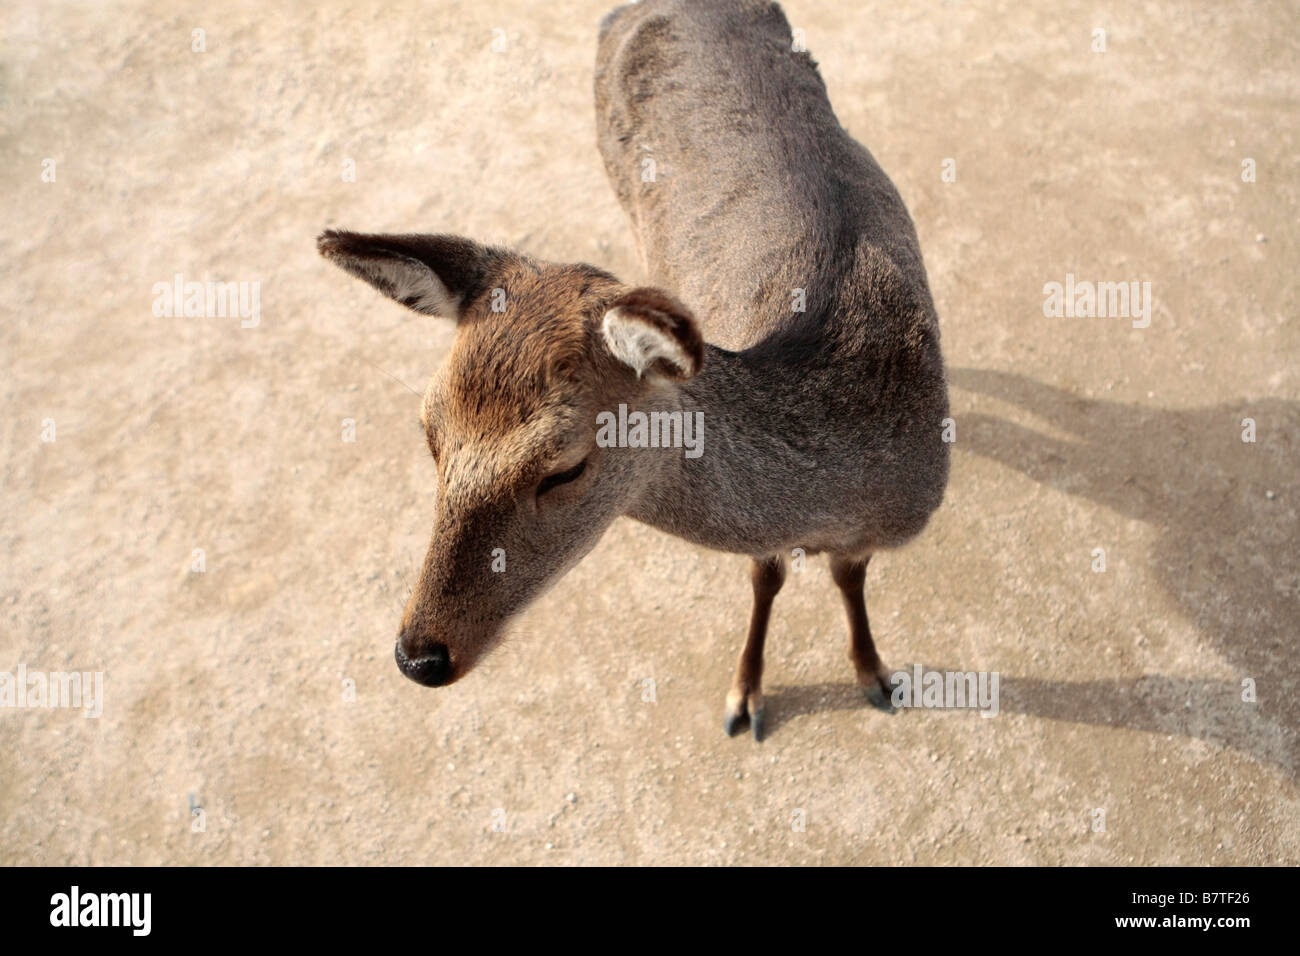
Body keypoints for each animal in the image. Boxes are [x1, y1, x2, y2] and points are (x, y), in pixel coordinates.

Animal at [314, 0, 946, 738]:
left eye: (565, 467)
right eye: (429, 434)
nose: (419, 656)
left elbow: (848, 581)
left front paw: (875, 674)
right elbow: (766, 577)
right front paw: (745, 695)